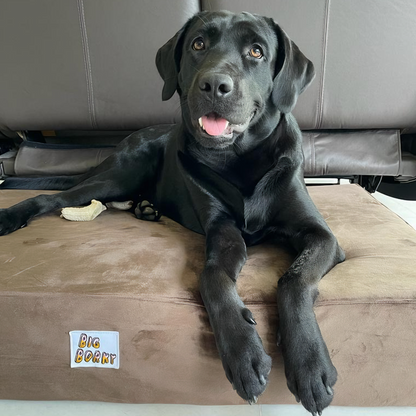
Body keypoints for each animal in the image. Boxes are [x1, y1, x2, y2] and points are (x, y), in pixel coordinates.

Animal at [0, 11, 345, 415]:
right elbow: (211, 276)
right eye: (198, 44)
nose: (214, 85)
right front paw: (243, 353)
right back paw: (11, 217)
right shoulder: (221, 230)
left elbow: (295, 278)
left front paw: (309, 364)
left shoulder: (320, 235)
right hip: (120, 172)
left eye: (257, 51)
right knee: (54, 198)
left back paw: (145, 207)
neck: (238, 158)